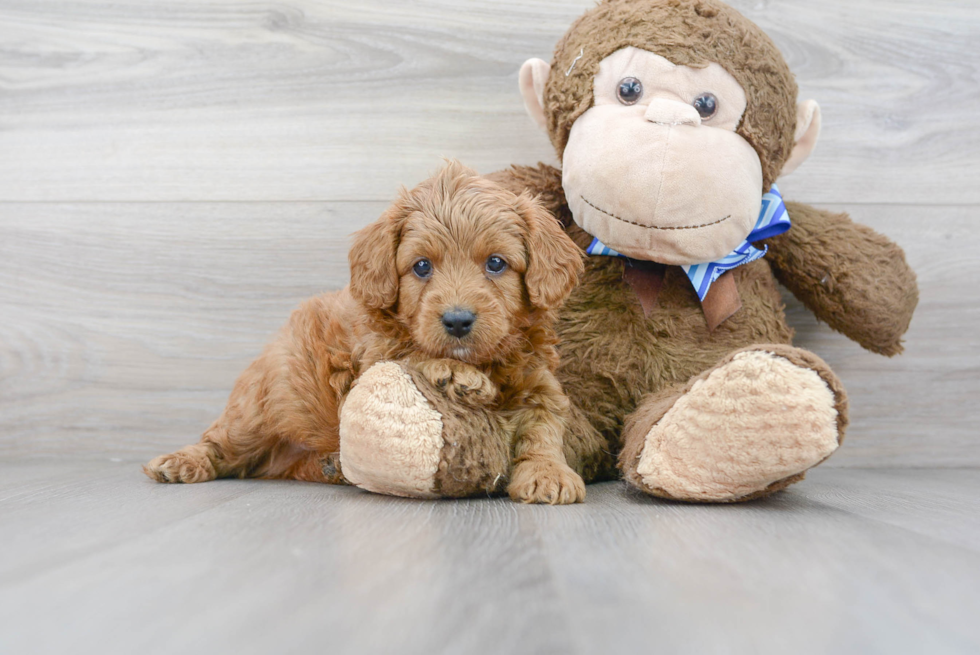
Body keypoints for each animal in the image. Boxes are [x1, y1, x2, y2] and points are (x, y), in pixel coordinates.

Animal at [144, 161, 588, 504]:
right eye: (422, 266)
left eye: (496, 263)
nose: (458, 321)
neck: (489, 363)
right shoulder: (374, 355)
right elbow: (409, 352)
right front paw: (456, 374)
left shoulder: (540, 387)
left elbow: (543, 433)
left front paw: (548, 473)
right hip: (257, 407)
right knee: (220, 442)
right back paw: (181, 461)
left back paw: (332, 465)